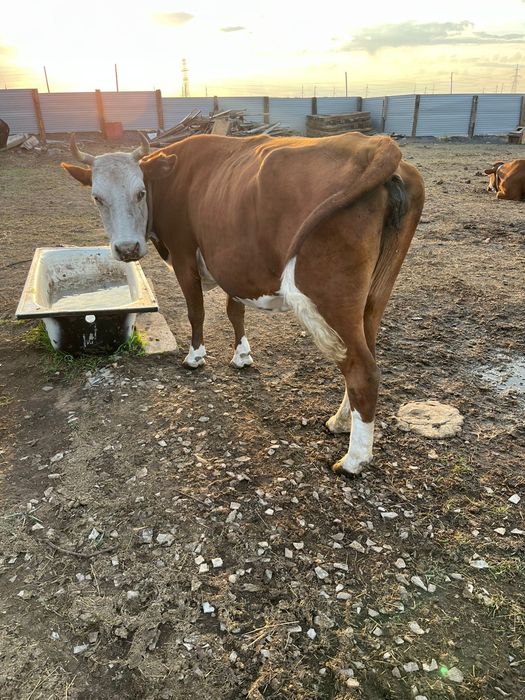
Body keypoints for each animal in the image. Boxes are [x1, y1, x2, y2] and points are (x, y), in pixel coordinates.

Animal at [61, 131, 424, 476]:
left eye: (140, 192)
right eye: (97, 197)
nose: (127, 249)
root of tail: (376, 145)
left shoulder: (183, 255)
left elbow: (196, 311)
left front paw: (195, 357)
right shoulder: (231, 264)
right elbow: (234, 310)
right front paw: (242, 356)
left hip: (331, 297)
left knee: (362, 370)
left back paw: (354, 460)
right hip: (373, 298)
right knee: (366, 355)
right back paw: (340, 421)